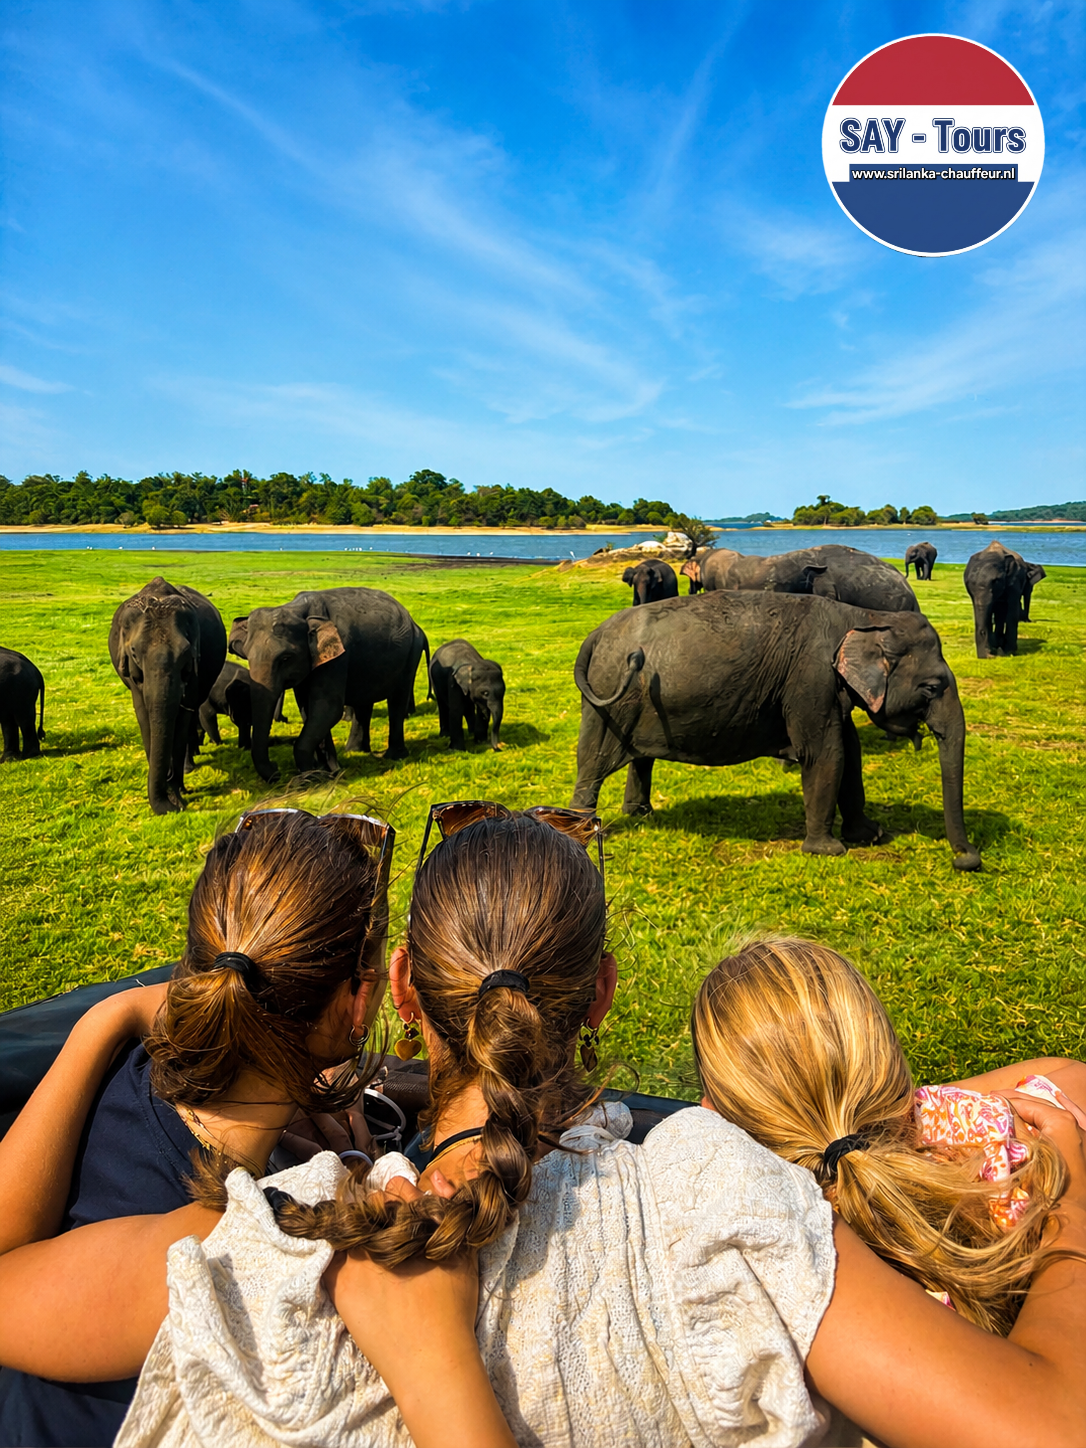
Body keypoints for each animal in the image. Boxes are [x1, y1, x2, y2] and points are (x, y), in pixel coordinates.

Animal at [108, 577, 227, 814]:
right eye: (134, 653)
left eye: (186, 653)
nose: (170, 807)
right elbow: (144, 716)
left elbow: (181, 718)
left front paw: (176, 794)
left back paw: (188, 767)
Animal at [229, 587, 429, 782]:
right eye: (247, 657)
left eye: (285, 658)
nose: (276, 770)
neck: (297, 609)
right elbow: (308, 709)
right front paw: (327, 771)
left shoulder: (338, 655)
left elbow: (327, 708)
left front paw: (313, 777)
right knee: (364, 702)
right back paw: (355, 751)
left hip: (411, 652)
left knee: (397, 698)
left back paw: (395, 756)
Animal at [570, 591, 981, 871]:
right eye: (931, 687)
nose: (968, 858)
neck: (863, 616)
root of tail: (595, 633)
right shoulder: (811, 678)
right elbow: (825, 753)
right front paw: (828, 850)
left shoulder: (830, 689)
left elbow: (851, 752)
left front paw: (870, 834)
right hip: (609, 697)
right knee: (592, 762)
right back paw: (581, 832)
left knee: (640, 758)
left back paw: (641, 814)